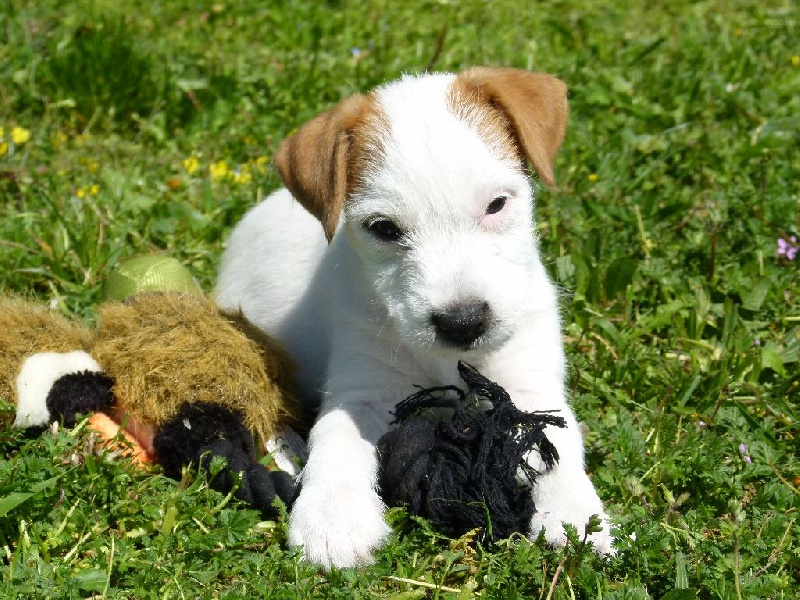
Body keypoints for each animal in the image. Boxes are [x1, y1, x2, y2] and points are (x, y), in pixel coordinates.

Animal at [216, 68, 616, 568]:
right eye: (384, 228)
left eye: (497, 204)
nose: (464, 322)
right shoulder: (361, 389)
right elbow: (337, 439)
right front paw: (333, 518)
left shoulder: (529, 385)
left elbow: (555, 443)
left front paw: (577, 516)